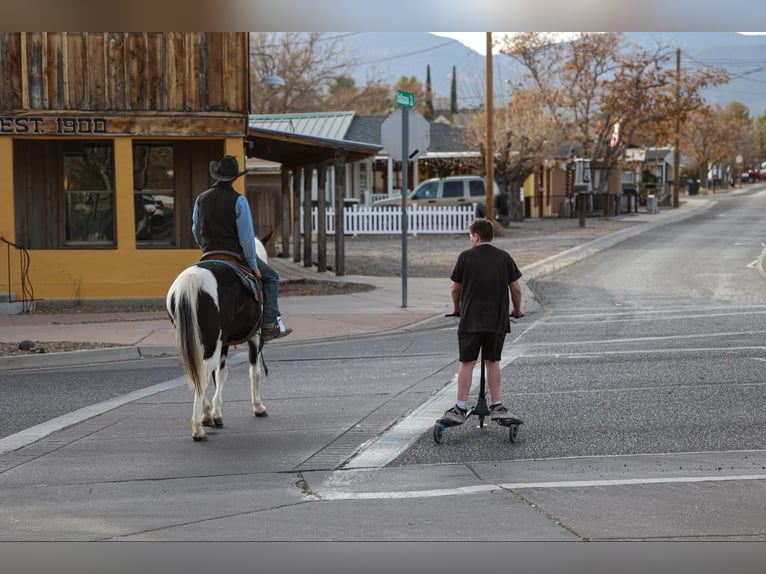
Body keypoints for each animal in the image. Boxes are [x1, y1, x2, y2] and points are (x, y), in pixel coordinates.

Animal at [165, 236, 270, 444]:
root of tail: (193, 278)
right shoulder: (255, 338)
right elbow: (253, 372)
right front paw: (257, 406)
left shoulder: (223, 344)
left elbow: (219, 375)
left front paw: (213, 413)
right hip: (214, 343)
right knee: (203, 373)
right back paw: (197, 428)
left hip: (196, 342)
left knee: (195, 371)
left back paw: (203, 415)